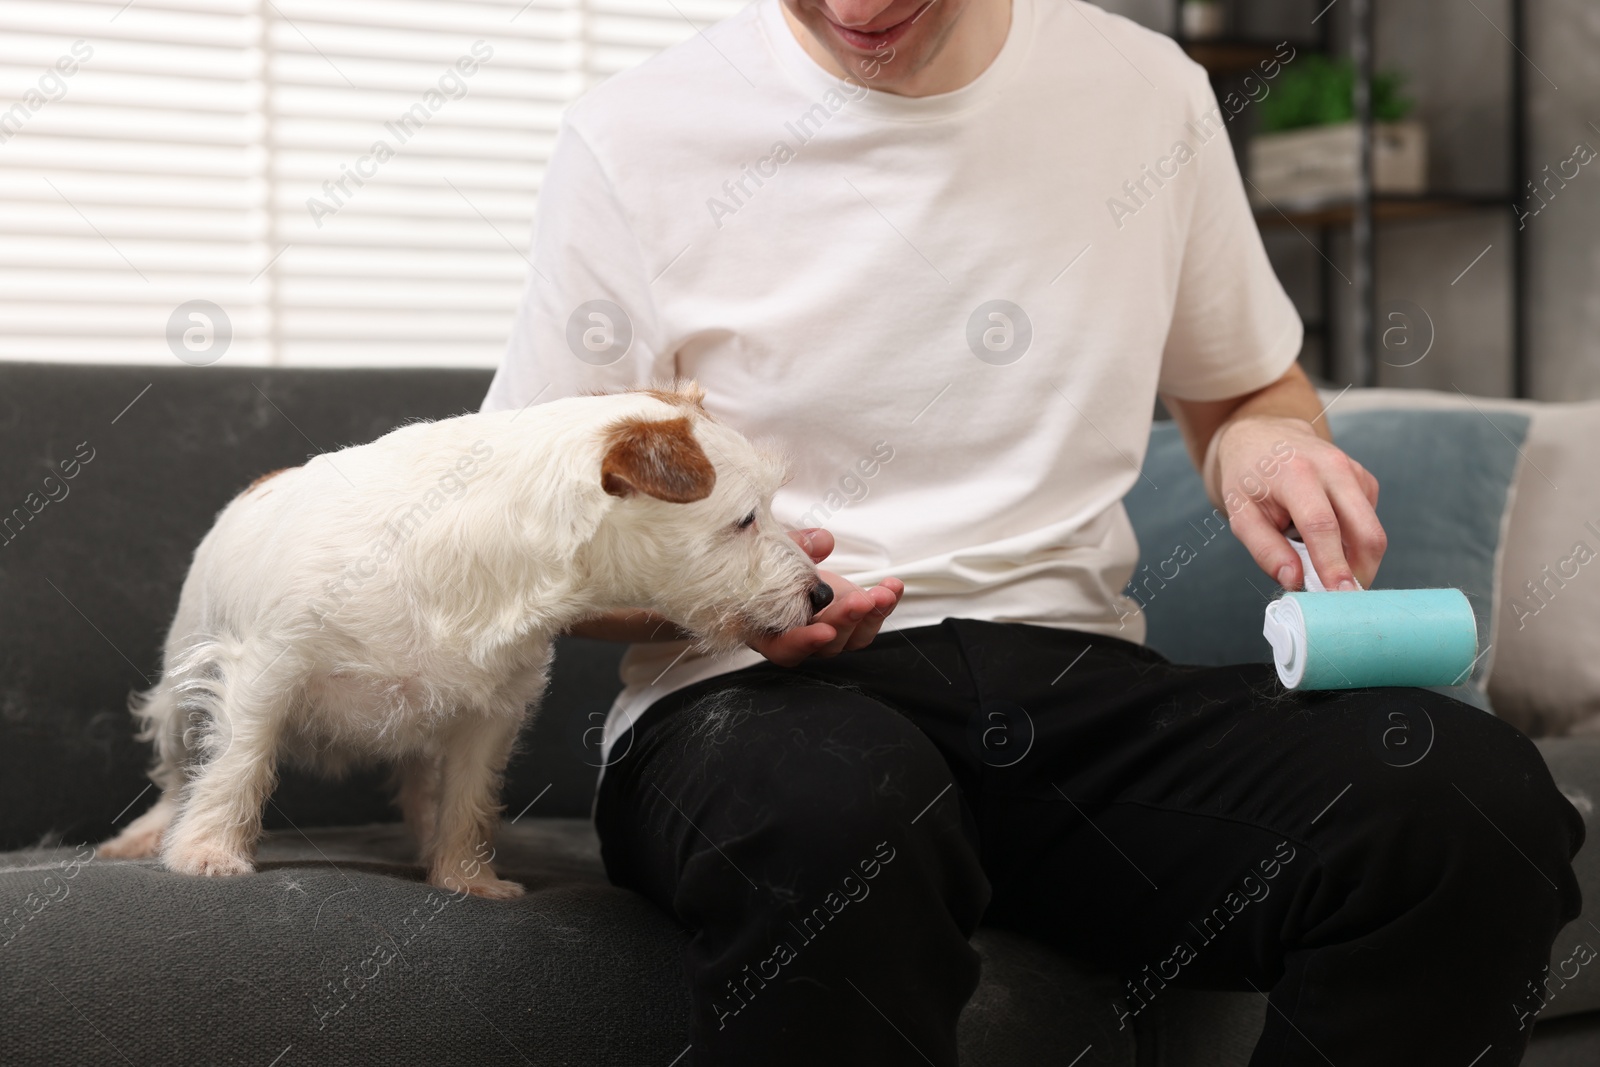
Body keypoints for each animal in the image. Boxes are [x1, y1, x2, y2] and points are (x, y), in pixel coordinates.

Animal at [101, 383, 832, 902]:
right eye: (744, 519)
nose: (821, 595)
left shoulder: (491, 713)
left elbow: (468, 798)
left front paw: (465, 877)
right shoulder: (266, 671)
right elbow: (239, 763)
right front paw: (208, 852)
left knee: (425, 784)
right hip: (181, 690)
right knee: (180, 766)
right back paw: (149, 833)